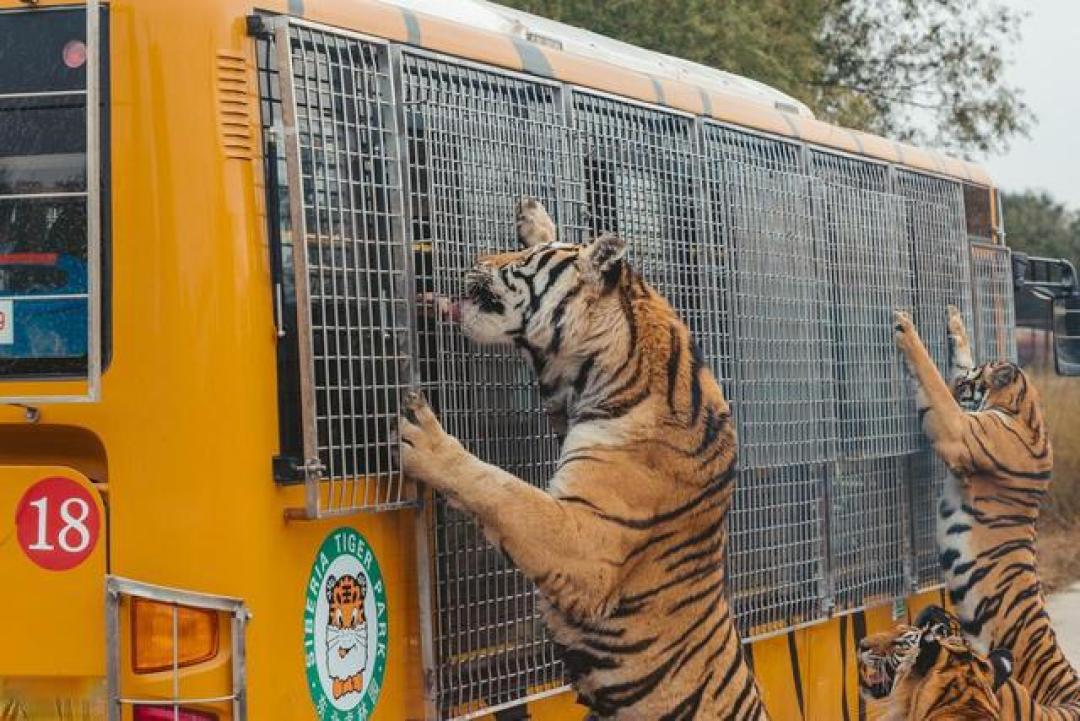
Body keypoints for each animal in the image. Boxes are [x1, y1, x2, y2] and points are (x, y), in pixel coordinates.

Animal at [397, 198, 766, 720]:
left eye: (519, 263)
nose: (476, 259)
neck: (598, 368)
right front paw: (536, 218)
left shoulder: (588, 544)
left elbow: (503, 491)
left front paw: (427, 441)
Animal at [893, 306, 1080, 706]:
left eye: (966, 386)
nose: (959, 387)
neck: (1025, 408)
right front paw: (955, 323)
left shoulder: (957, 430)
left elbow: (931, 378)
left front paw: (906, 328)